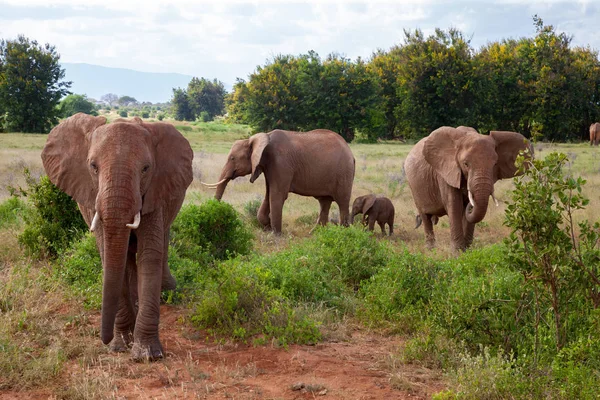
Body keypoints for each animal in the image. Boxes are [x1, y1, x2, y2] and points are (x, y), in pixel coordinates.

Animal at [42, 113, 192, 362]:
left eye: (146, 169)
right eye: (93, 167)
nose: (104, 339)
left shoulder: (154, 191)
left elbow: (149, 255)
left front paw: (147, 355)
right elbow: (107, 253)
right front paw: (120, 345)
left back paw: (167, 291)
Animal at [205, 130, 356, 233]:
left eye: (232, 158)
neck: (263, 137)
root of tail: (351, 153)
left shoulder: (280, 163)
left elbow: (277, 195)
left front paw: (275, 234)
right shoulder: (269, 167)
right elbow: (268, 194)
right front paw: (267, 225)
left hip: (344, 173)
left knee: (342, 202)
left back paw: (343, 233)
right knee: (324, 202)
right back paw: (315, 233)